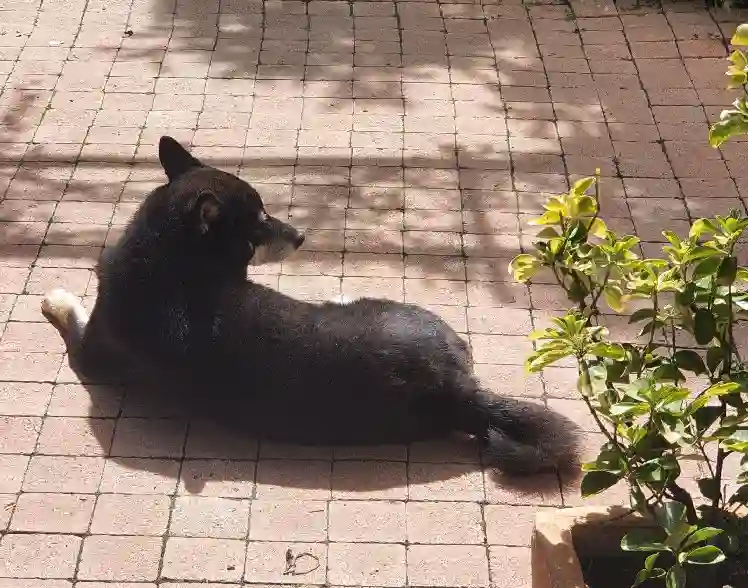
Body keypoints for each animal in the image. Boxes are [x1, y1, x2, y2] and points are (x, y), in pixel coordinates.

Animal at [41, 136, 580, 476]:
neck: (170, 260)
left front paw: (57, 298)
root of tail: (460, 392)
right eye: (259, 225)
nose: (301, 236)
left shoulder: (92, 354)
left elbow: (72, 316)